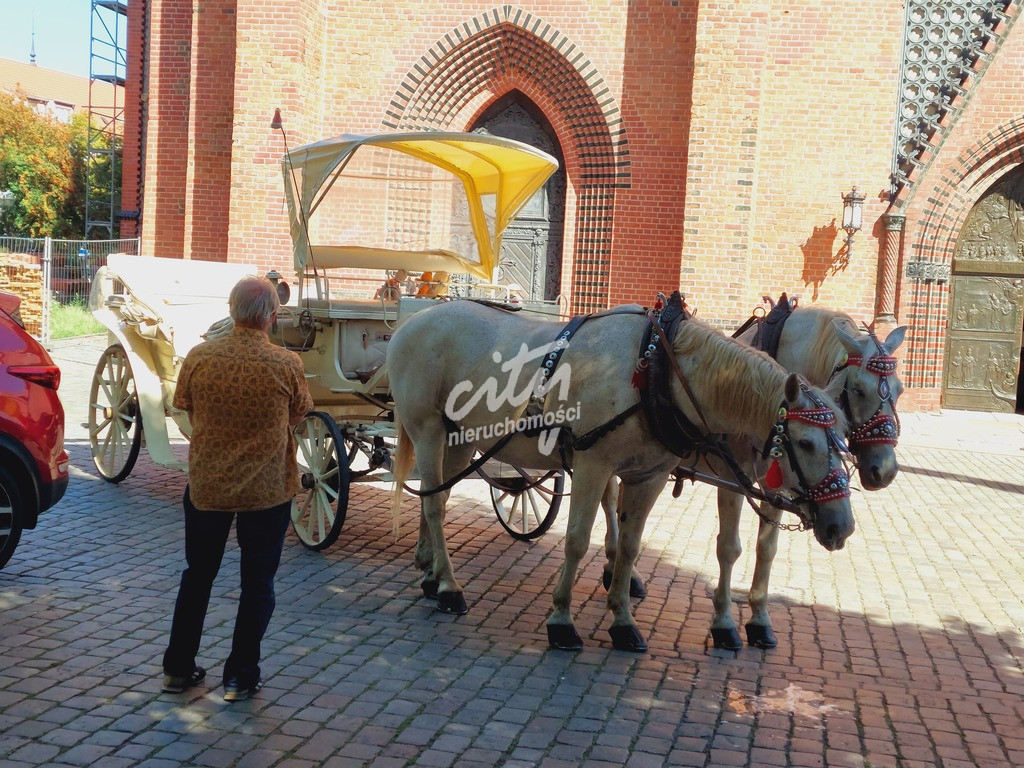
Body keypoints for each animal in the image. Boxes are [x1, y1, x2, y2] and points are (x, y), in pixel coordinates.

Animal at [387, 296, 851, 651]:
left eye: (844, 440)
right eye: (805, 443)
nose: (841, 527)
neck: (657, 370)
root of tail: (413, 321)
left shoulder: (649, 476)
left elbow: (629, 546)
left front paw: (623, 621)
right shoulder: (593, 465)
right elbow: (576, 541)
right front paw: (561, 620)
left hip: (461, 438)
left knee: (439, 494)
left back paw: (431, 573)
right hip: (427, 430)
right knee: (434, 504)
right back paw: (449, 588)